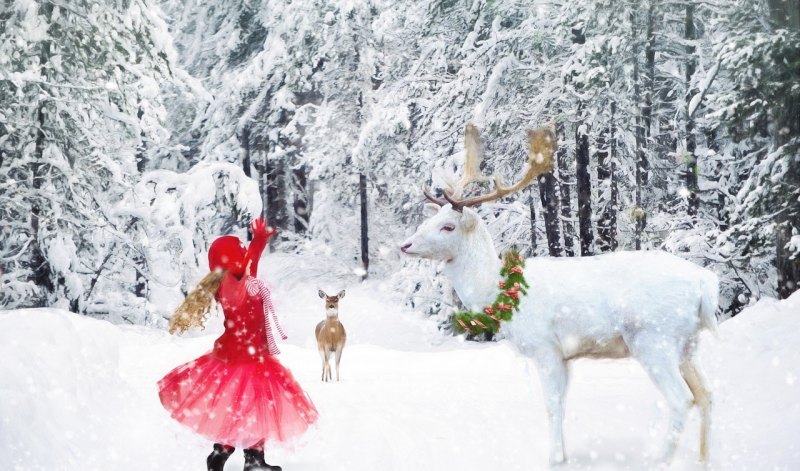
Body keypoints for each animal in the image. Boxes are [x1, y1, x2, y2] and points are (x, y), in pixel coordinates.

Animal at [400, 123, 720, 466]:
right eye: (428, 220)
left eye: (448, 226)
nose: (405, 244)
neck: (496, 290)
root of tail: (705, 284)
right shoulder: (565, 356)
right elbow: (563, 404)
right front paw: (562, 454)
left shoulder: (545, 347)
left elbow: (552, 405)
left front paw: (554, 458)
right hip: (687, 343)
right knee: (706, 394)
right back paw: (703, 459)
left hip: (653, 338)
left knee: (682, 398)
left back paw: (658, 459)